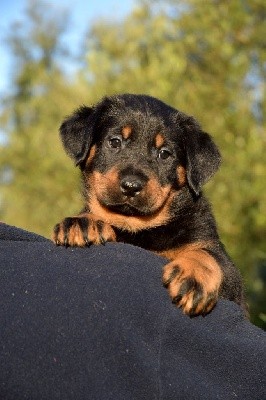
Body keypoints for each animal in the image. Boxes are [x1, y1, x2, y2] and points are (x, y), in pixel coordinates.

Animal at [52, 94, 247, 316]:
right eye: (115, 142)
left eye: (164, 154)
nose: (131, 185)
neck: (137, 227)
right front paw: (82, 222)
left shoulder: (225, 266)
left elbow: (207, 255)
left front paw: (193, 277)